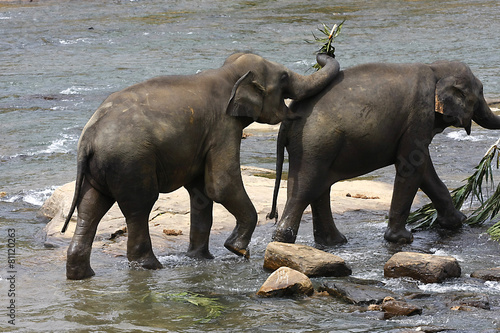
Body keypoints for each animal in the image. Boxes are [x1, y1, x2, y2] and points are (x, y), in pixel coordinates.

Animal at [59, 52, 340, 280]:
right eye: (283, 78)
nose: (326, 50)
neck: (229, 74)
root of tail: (88, 138)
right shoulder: (223, 127)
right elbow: (221, 185)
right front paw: (237, 249)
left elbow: (201, 192)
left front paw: (200, 259)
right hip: (130, 163)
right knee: (139, 207)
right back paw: (151, 266)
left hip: (101, 169)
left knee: (90, 209)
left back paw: (82, 275)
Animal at [268, 59, 500, 245]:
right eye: (480, 92)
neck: (435, 67)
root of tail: (289, 116)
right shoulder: (419, 115)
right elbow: (412, 167)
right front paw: (402, 239)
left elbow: (424, 169)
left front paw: (458, 221)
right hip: (314, 143)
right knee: (305, 189)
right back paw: (284, 241)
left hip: (316, 146)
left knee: (318, 189)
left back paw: (335, 242)